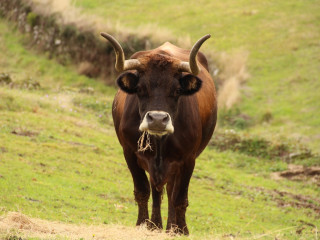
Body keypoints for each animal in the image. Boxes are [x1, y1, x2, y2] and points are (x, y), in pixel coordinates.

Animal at [101, 32, 216, 235]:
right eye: (140, 89)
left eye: (177, 90)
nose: (157, 119)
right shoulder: (130, 153)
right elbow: (142, 190)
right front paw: (143, 224)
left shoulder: (189, 159)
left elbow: (179, 198)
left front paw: (180, 231)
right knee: (157, 190)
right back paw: (155, 225)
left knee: (170, 192)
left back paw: (170, 227)